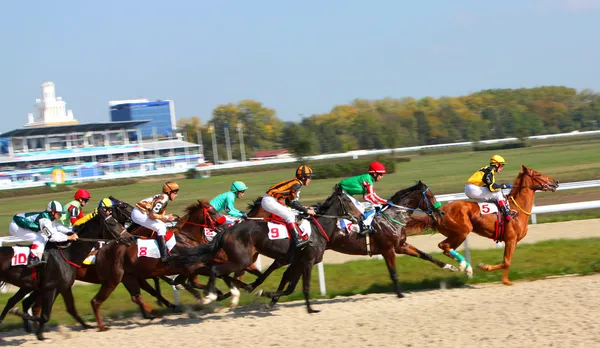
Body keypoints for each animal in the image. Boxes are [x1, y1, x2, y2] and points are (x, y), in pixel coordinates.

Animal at [0, 208, 125, 342]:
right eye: (112, 223)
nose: (129, 238)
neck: (67, 254)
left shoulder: (58, 288)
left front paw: (39, 335)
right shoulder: (50, 288)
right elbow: (45, 316)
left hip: (27, 286)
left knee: (13, 301)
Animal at [89, 200, 227, 330]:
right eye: (213, 212)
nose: (225, 225)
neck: (186, 237)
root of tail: (102, 250)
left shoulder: (190, 268)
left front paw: (215, 294)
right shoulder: (192, 267)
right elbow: (208, 274)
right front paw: (213, 295)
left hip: (128, 277)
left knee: (136, 296)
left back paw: (157, 313)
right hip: (112, 280)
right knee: (96, 301)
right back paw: (102, 327)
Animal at [406, 166, 560, 286]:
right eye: (538, 174)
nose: (555, 182)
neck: (517, 208)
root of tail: (438, 211)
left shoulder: (513, 241)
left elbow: (507, 261)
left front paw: (505, 280)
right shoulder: (510, 239)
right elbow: (506, 262)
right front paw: (487, 268)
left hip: (456, 234)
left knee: (446, 248)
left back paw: (466, 267)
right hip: (462, 231)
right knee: (443, 246)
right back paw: (465, 267)